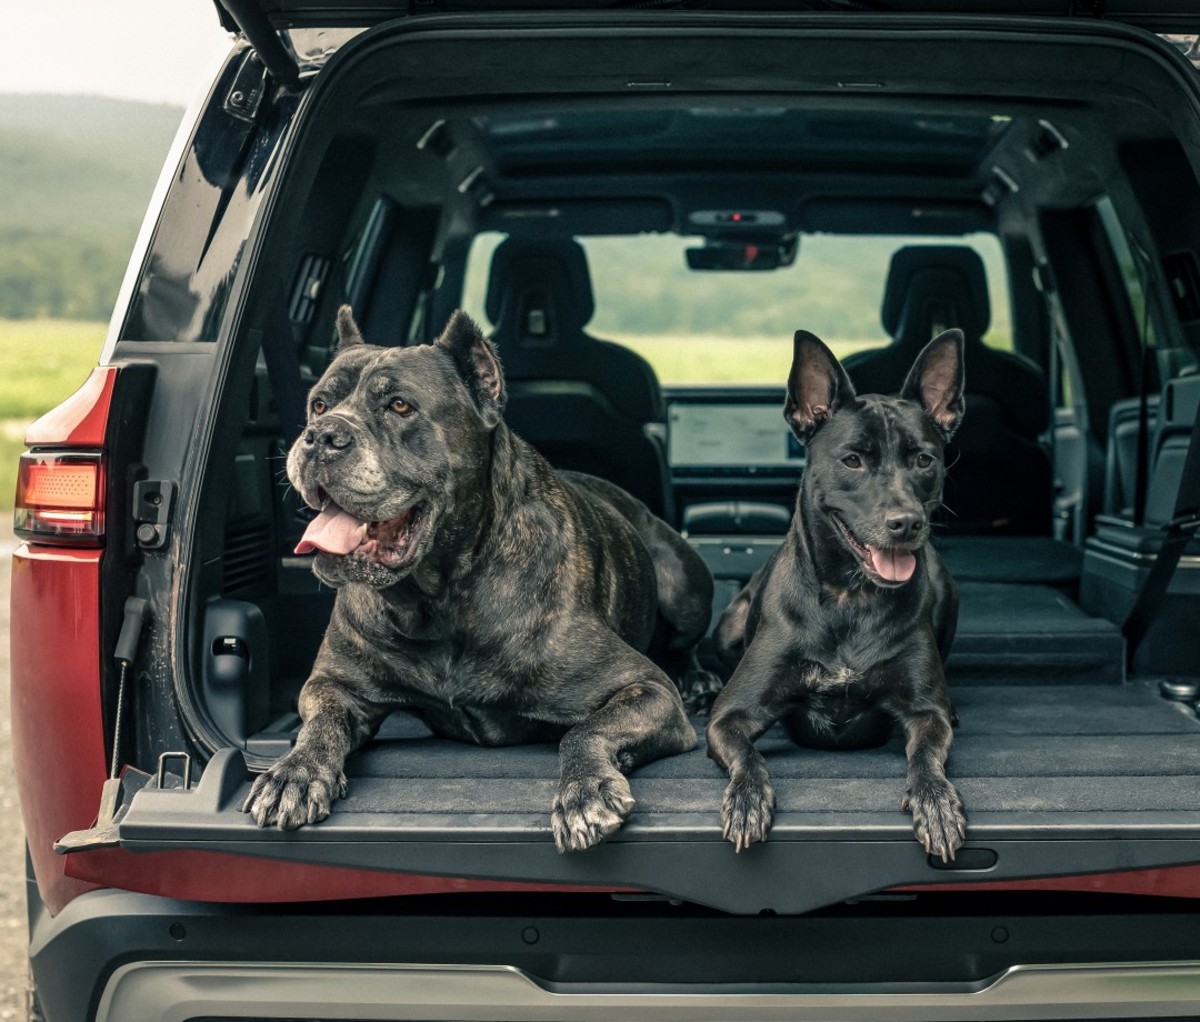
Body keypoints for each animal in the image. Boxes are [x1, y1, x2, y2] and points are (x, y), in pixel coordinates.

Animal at [241, 307, 710, 849]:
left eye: (399, 405)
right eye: (318, 404)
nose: (321, 436)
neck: (439, 597)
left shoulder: (647, 689)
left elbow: (585, 730)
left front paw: (585, 791)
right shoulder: (333, 684)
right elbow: (321, 724)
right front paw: (294, 773)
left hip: (684, 585)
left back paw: (700, 678)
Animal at [700, 326, 964, 863]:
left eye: (924, 459)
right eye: (852, 460)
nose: (907, 524)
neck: (849, 599)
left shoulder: (925, 713)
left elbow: (928, 753)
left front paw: (936, 800)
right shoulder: (731, 717)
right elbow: (748, 755)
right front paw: (747, 799)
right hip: (730, 622)